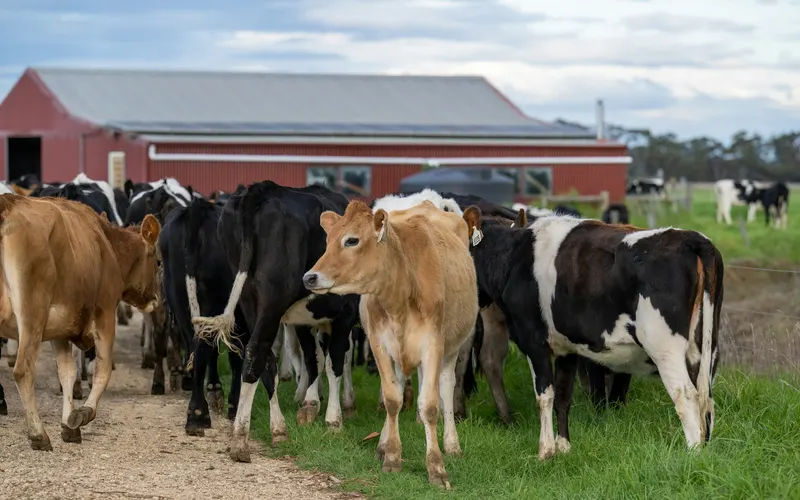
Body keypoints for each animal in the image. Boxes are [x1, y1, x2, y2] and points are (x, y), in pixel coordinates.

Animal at [0, 194, 161, 450]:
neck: (105, 244)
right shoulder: (105, 314)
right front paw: (83, 413)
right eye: (158, 262)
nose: (154, 299)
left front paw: (68, 424)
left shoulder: (60, 328)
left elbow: (67, 372)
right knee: (23, 370)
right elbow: (103, 371)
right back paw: (38, 433)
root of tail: (8, 205)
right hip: (32, 315)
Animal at [192, 181, 360, 461]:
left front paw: (311, 404)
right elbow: (333, 361)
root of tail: (263, 189)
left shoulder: (305, 320)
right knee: (256, 352)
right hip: (273, 298)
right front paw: (333, 420)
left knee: (266, 359)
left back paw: (278, 428)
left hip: (250, 300)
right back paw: (240, 438)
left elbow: (314, 359)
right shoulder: (345, 312)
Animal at [302, 199, 479, 488]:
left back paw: (452, 444)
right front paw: (392, 457)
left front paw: (437, 467)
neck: (401, 292)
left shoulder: (433, 346)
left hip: (453, 347)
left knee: (446, 387)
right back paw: (383, 443)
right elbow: (392, 399)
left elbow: (430, 406)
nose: (309, 277)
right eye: (327, 240)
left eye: (352, 240)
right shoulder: (379, 345)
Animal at [460, 208, 723, 459]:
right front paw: (564, 447)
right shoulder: (566, 349)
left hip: (664, 347)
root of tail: (691, 237)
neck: (514, 259)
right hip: (703, 349)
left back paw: (693, 454)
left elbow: (545, 396)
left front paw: (545, 451)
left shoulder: (535, 343)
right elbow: (563, 396)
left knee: (686, 396)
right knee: (706, 398)